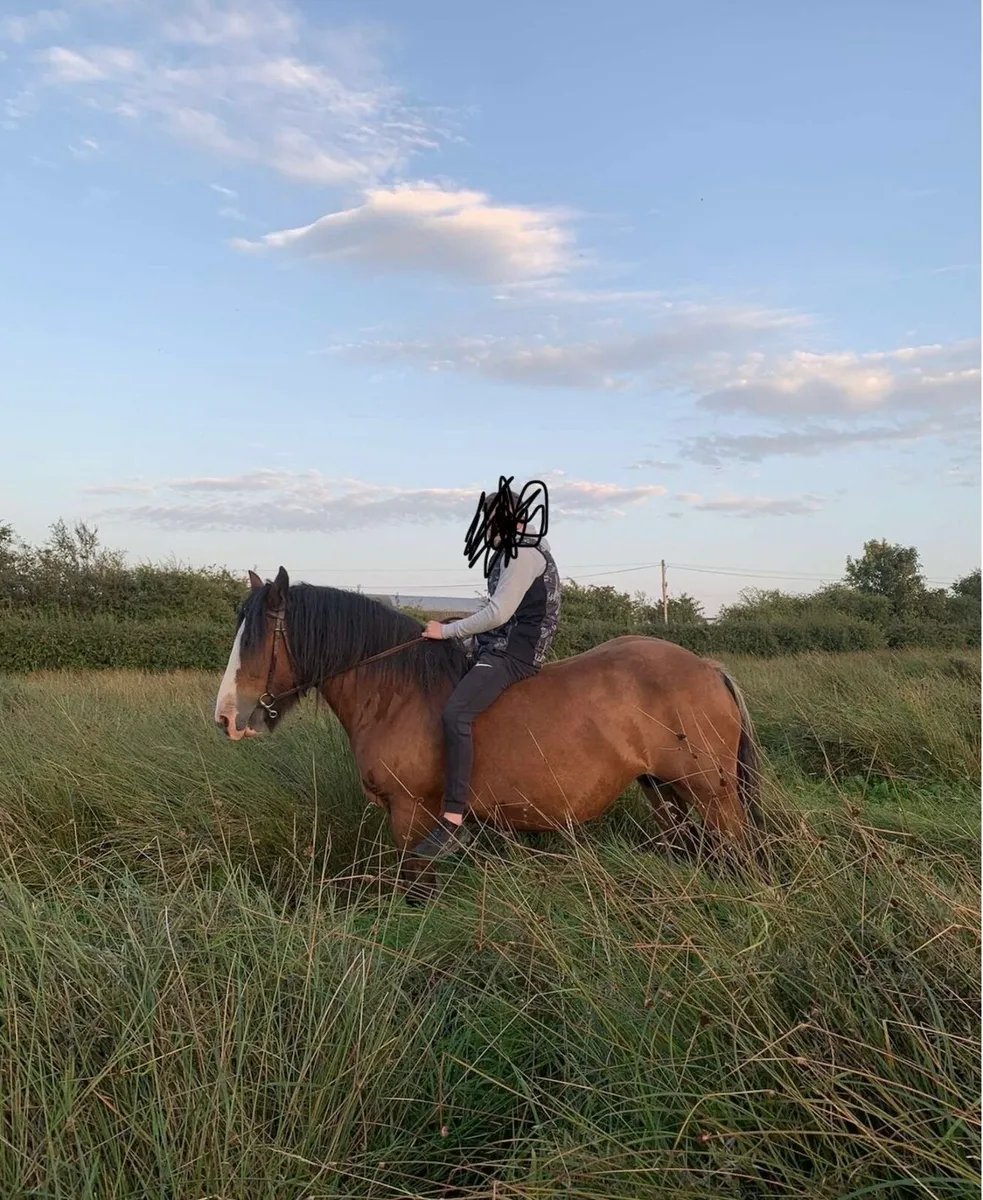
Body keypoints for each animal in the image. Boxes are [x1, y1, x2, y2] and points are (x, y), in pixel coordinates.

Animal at [214, 567, 760, 897]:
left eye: (258, 639)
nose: (227, 718)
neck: (396, 692)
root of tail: (708, 668)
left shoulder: (411, 816)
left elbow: (418, 891)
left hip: (712, 796)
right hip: (666, 791)